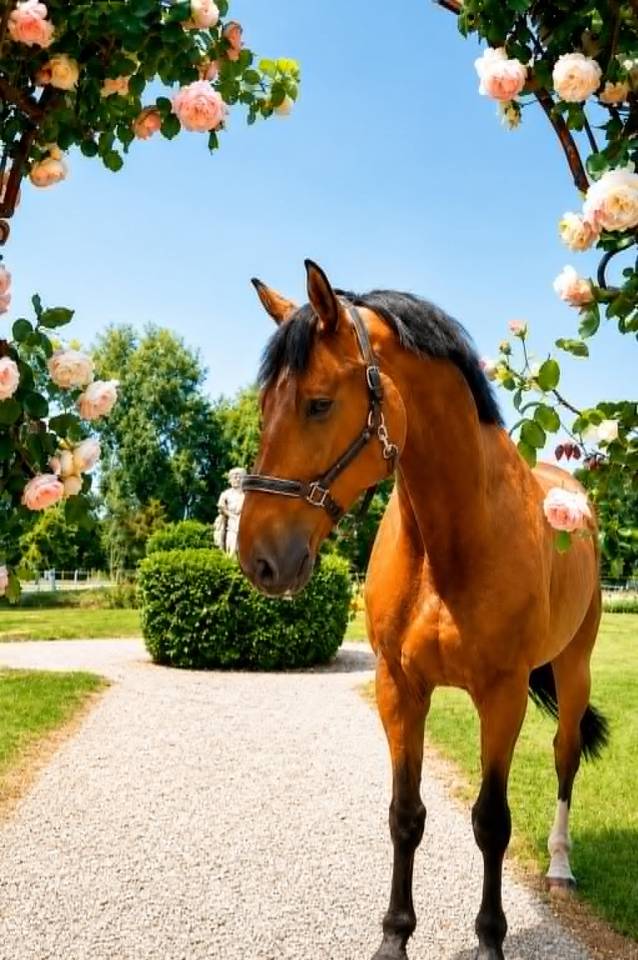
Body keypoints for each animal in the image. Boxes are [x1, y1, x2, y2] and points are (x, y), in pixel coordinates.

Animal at [237, 260, 608, 960]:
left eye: (319, 402)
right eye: (264, 404)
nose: (259, 559)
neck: (453, 542)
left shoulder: (503, 696)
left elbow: (491, 823)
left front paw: (490, 940)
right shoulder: (399, 689)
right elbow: (405, 817)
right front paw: (394, 936)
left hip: (573, 671)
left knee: (565, 757)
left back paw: (561, 866)